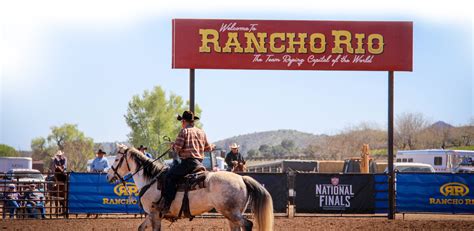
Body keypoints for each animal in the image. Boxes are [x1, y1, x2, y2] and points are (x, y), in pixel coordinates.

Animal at [105, 143, 272, 230]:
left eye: (117, 159)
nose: (108, 176)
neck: (150, 179)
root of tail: (242, 178)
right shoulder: (151, 214)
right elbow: (141, 228)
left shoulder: (155, 214)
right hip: (232, 214)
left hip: (231, 212)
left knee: (248, 224)